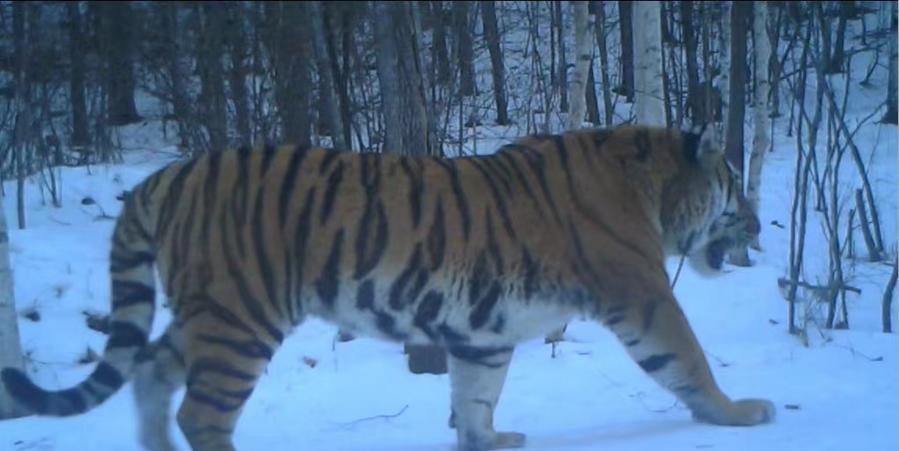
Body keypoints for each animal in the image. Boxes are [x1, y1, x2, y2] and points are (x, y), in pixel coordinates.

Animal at [1, 124, 774, 451]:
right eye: (733, 184)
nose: (761, 223)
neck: (651, 187)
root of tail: (165, 174)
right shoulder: (644, 294)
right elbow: (688, 360)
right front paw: (739, 411)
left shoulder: (482, 328)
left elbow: (475, 393)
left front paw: (488, 439)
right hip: (239, 316)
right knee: (202, 413)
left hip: (207, 313)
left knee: (151, 372)